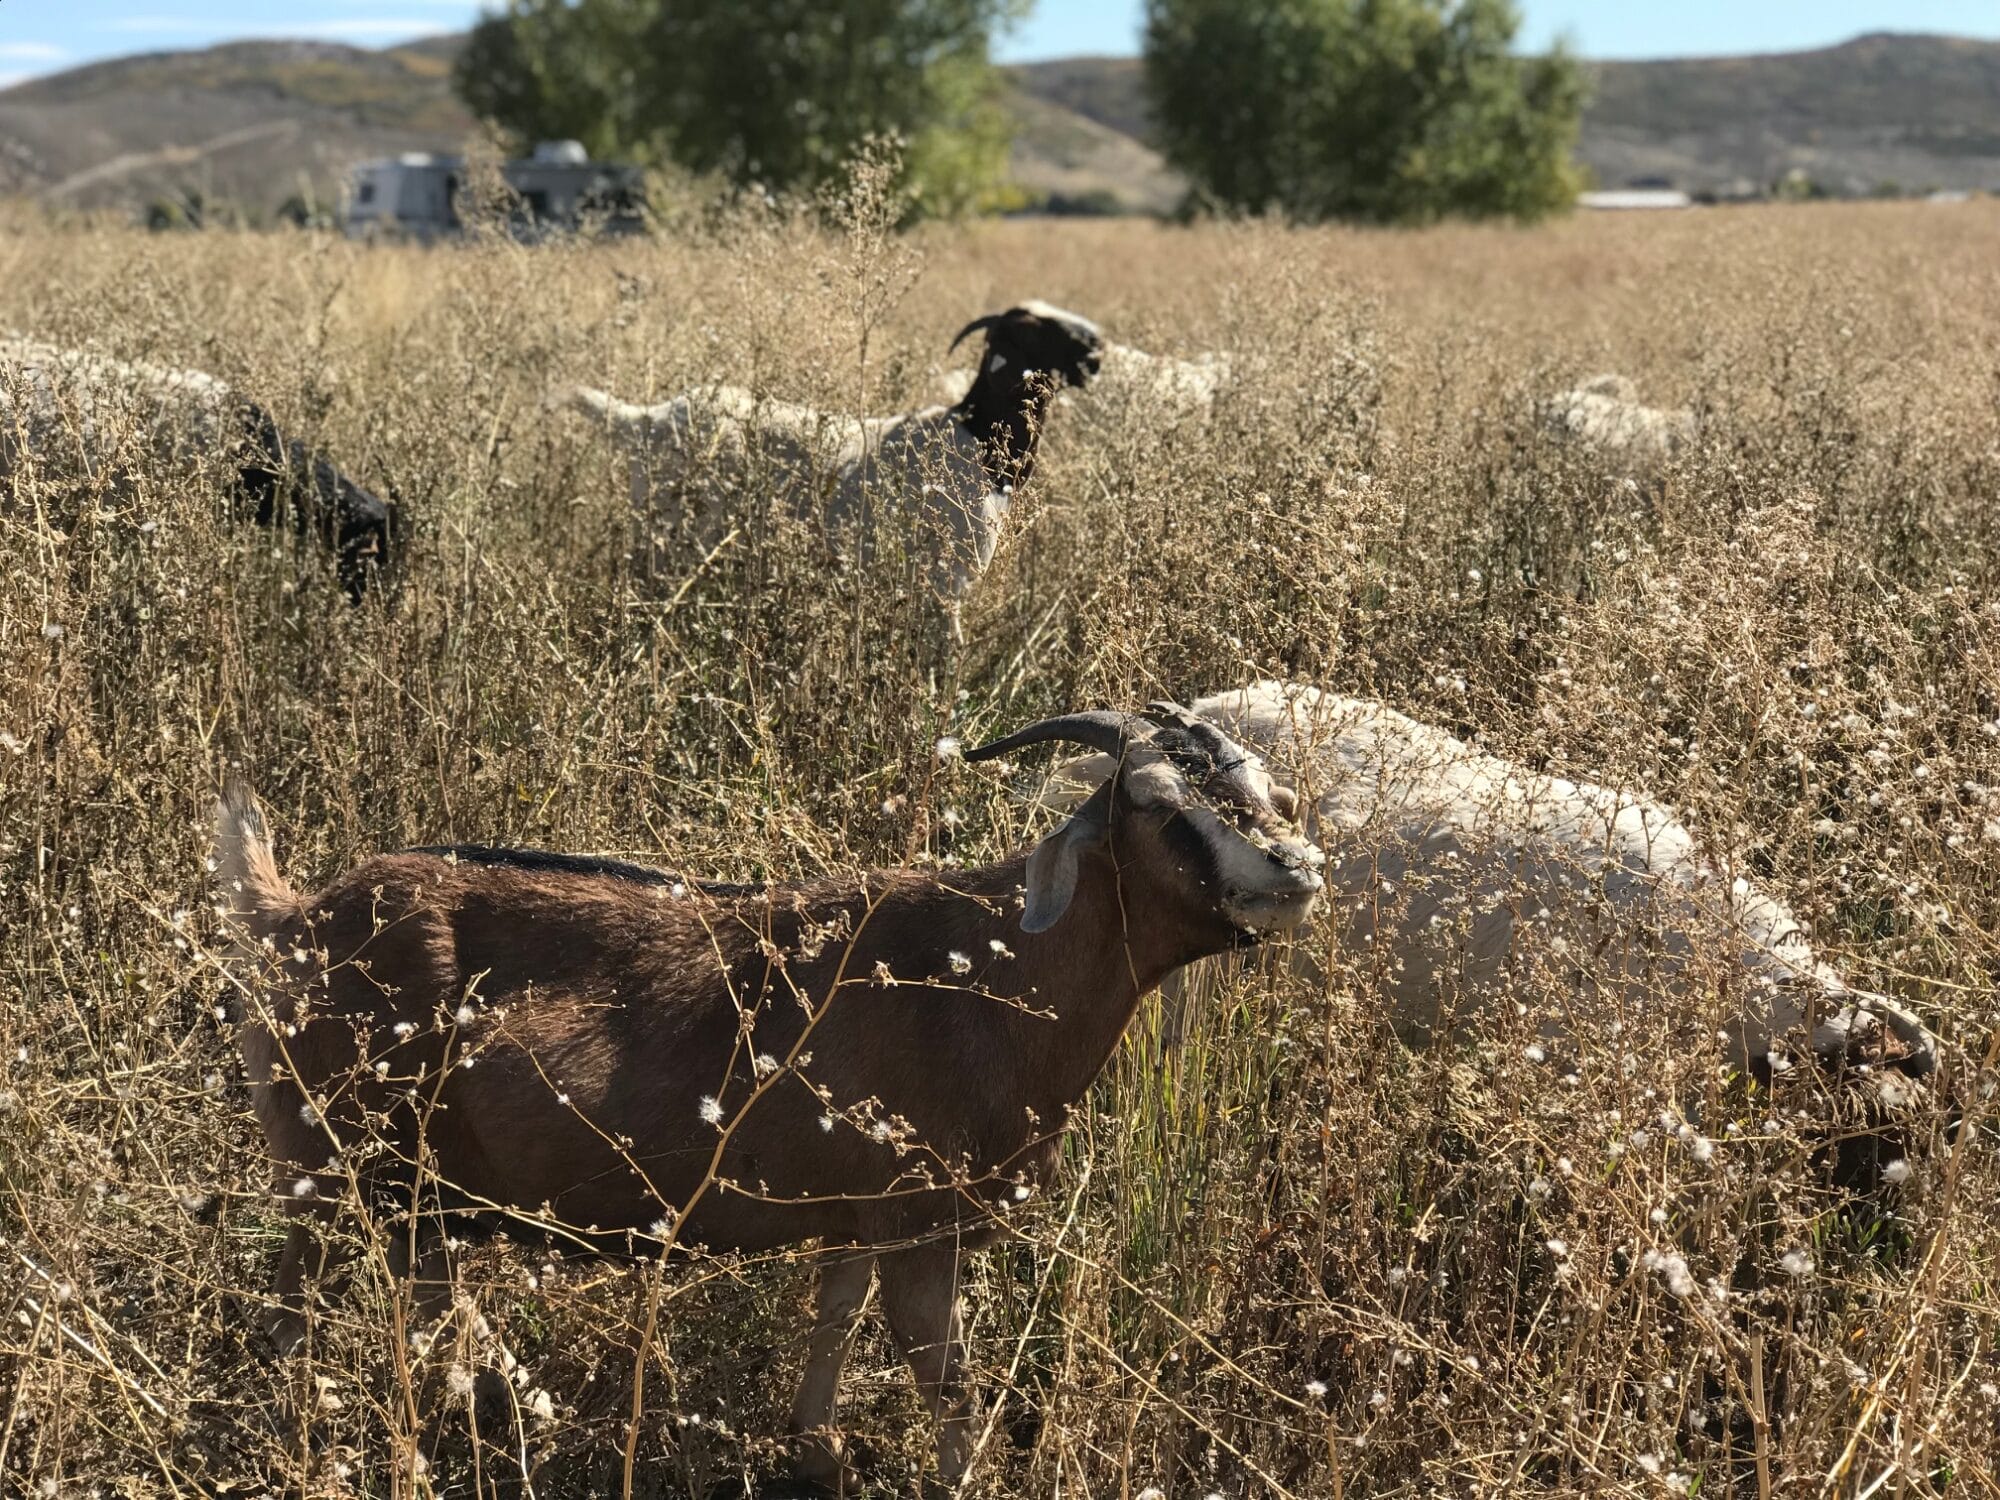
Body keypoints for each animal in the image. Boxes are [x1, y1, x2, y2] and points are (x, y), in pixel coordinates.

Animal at [211, 708, 1320, 1496]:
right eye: (1162, 807)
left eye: (1269, 791)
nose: (1295, 871)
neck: (988, 970)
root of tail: (291, 919)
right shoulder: (918, 1223)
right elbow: (949, 1387)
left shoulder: (855, 1216)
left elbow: (834, 1317)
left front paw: (814, 1455)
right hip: (327, 1165)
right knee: (297, 1311)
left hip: (413, 1184)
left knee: (425, 1280)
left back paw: (506, 1405)